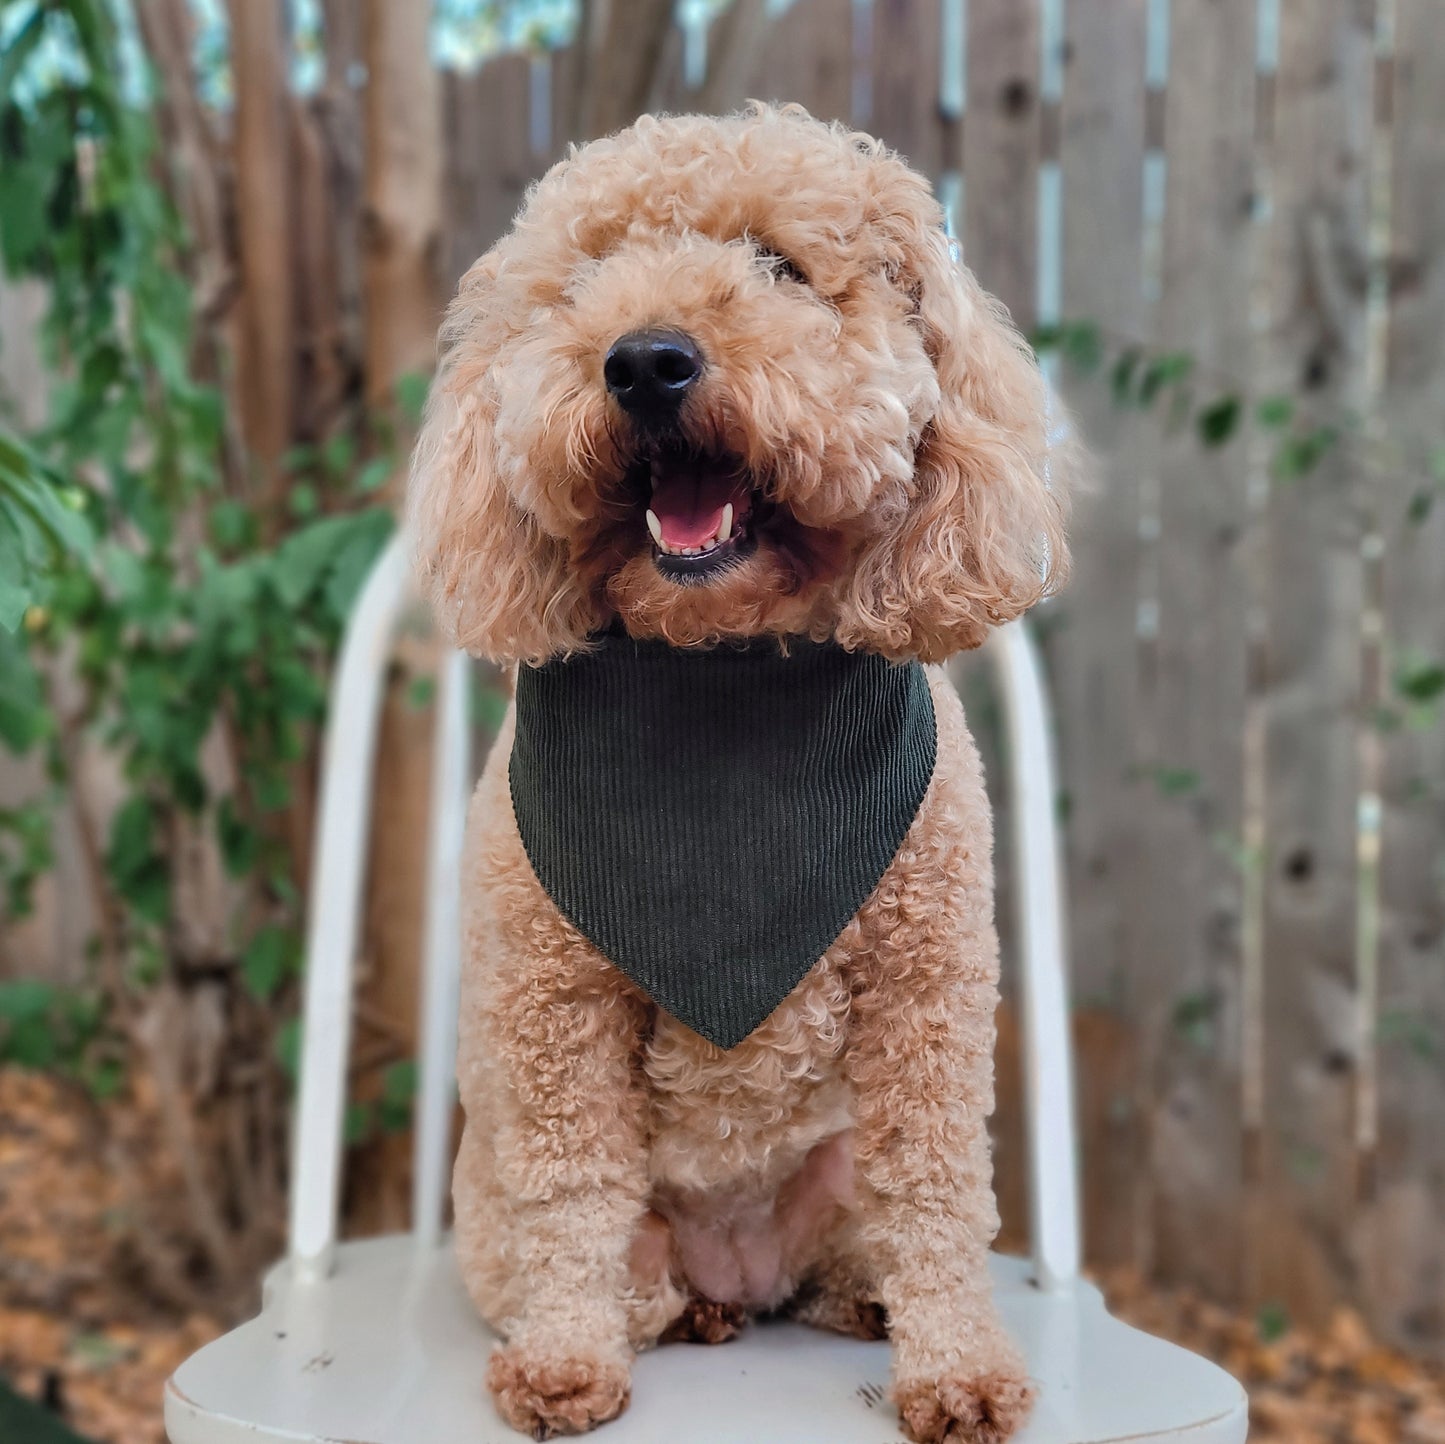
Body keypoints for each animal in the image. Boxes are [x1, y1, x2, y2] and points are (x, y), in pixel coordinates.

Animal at [413, 104, 1069, 1444]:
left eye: (780, 266)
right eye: (586, 278)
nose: (643, 360)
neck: (716, 671)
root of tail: (746, 1267)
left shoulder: (928, 993)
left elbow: (935, 1189)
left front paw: (958, 1369)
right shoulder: (552, 1008)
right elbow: (573, 1186)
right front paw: (561, 1362)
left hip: (838, 1180)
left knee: (859, 1247)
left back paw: (859, 1306)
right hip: (518, 1224)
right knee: (629, 1271)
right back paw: (678, 1316)